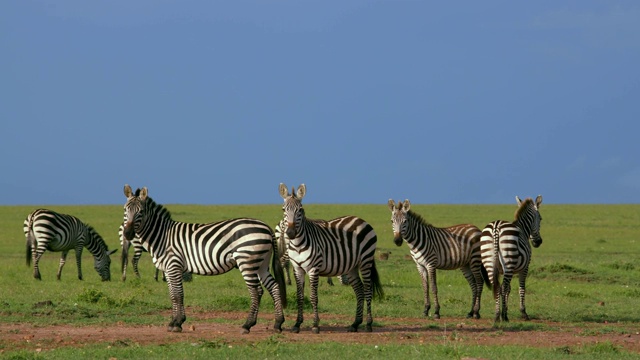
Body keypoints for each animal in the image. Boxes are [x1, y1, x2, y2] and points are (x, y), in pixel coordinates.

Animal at [122, 184, 288, 334]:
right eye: (125, 210)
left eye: (141, 212)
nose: (128, 234)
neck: (162, 236)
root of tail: (266, 226)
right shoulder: (168, 270)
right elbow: (172, 295)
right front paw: (173, 322)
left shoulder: (174, 265)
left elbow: (178, 295)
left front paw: (178, 323)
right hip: (261, 263)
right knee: (274, 286)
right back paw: (278, 323)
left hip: (247, 260)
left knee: (256, 291)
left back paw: (247, 325)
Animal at [278, 184, 380, 334]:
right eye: (284, 209)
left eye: (300, 210)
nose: (290, 233)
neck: (297, 244)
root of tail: (360, 219)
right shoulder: (297, 269)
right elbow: (300, 296)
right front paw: (297, 324)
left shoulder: (313, 269)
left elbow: (313, 297)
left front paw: (315, 325)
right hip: (352, 266)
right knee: (359, 290)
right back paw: (355, 324)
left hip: (365, 261)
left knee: (367, 289)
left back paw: (368, 324)